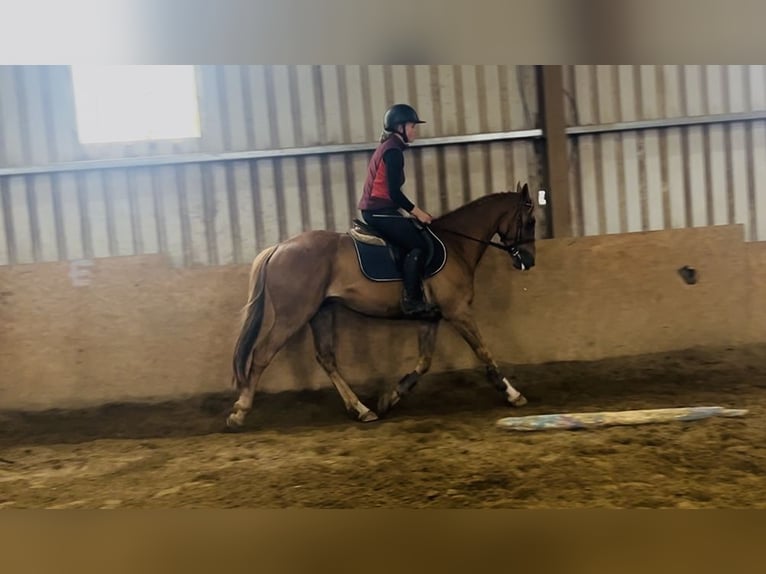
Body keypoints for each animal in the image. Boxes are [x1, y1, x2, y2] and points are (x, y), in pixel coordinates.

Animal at [227, 182, 538, 429]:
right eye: (531, 220)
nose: (528, 260)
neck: (456, 244)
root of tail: (279, 247)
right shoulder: (457, 311)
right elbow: (483, 351)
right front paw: (513, 394)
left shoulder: (429, 318)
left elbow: (424, 362)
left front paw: (390, 398)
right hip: (293, 314)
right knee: (262, 355)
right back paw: (240, 413)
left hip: (320, 312)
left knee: (326, 358)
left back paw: (362, 410)